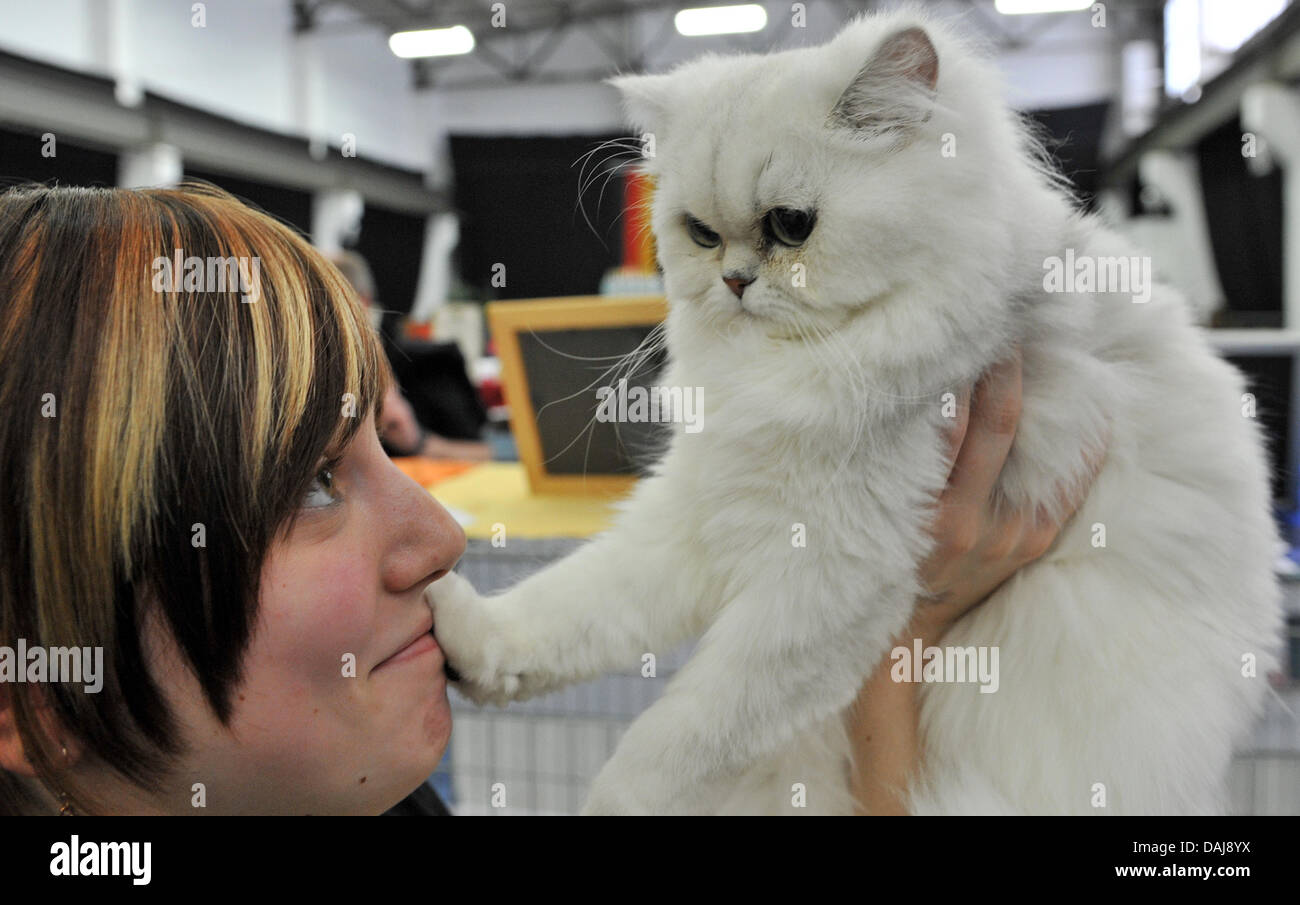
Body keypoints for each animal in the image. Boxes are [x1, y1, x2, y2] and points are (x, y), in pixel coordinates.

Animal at [431, 5, 1284, 811]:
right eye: (701, 235)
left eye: (790, 226)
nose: (733, 282)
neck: (783, 369)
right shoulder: (698, 514)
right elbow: (569, 608)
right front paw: (466, 643)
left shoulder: (827, 581)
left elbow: (672, 738)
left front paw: (605, 801)